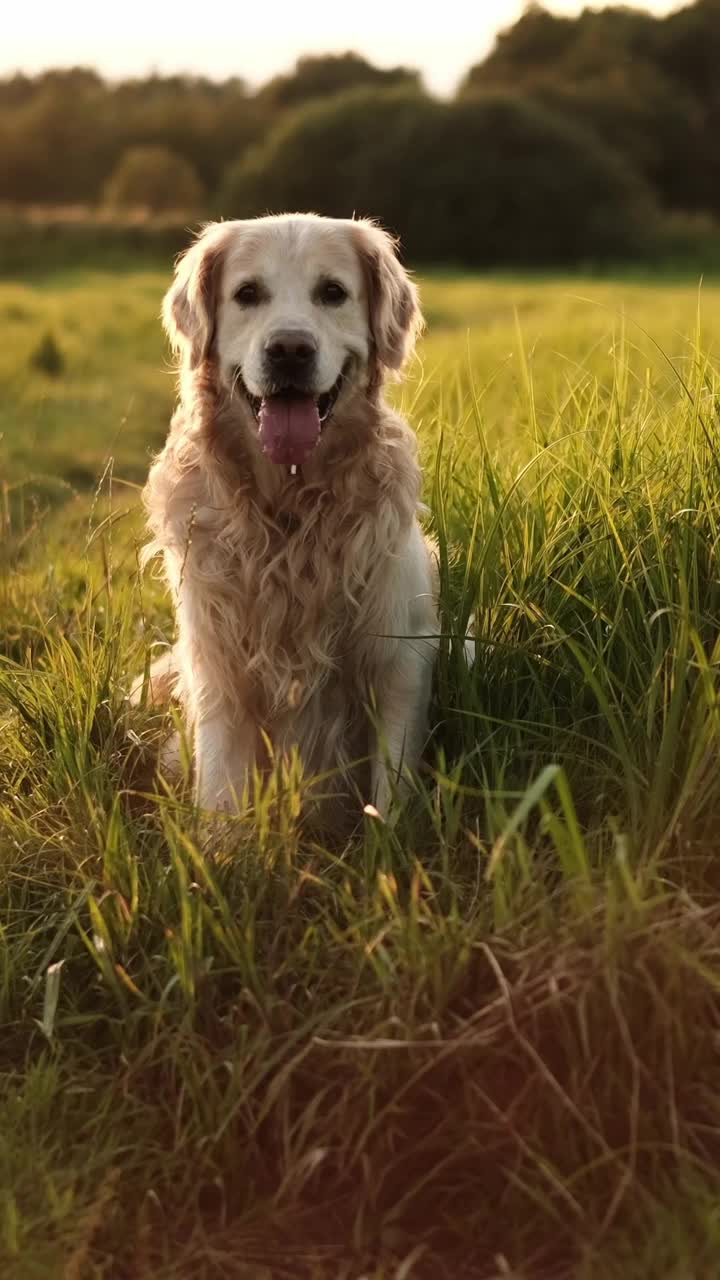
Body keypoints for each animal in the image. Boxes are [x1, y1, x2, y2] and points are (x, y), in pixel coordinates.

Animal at [141, 213, 438, 814]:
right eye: (247, 294)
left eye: (333, 292)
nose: (290, 350)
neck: (289, 510)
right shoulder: (218, 668)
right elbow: (221, 798)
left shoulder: (402, 660)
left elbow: (389, 797)